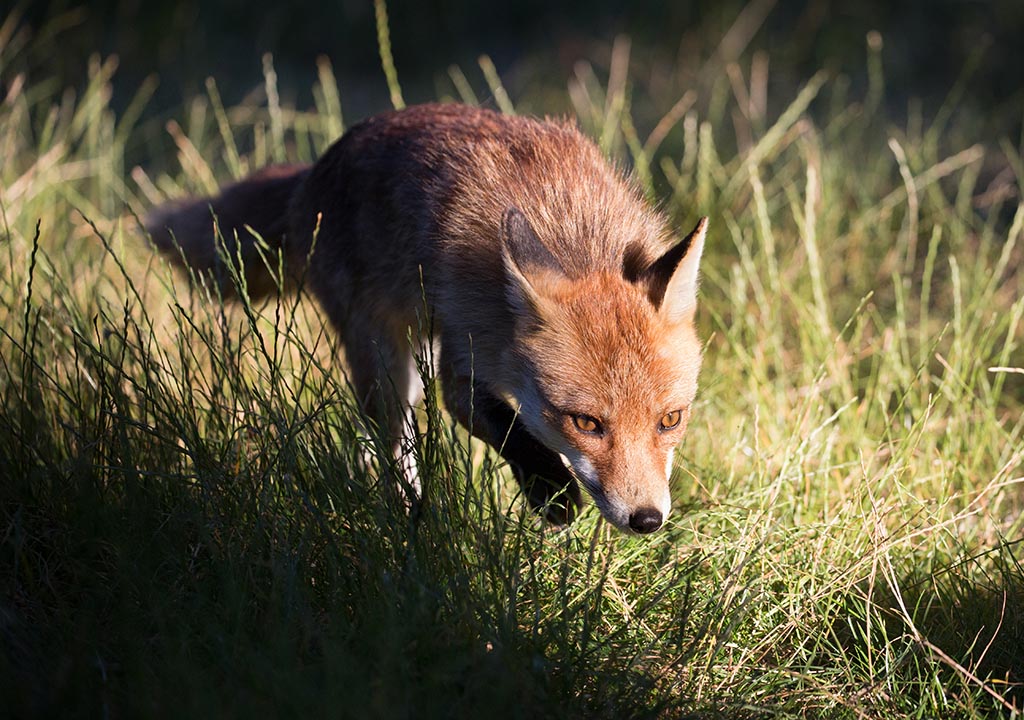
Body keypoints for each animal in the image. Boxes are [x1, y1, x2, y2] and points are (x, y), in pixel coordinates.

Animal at [145, 102, 707, 534]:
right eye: (586, 422)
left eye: (670, 420)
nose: (646, 520)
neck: (569, 225)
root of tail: (315, 171)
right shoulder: (465, 345)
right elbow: (495, 420)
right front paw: (549, 488)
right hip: (385, 361)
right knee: (393, 444)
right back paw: (411, 520)